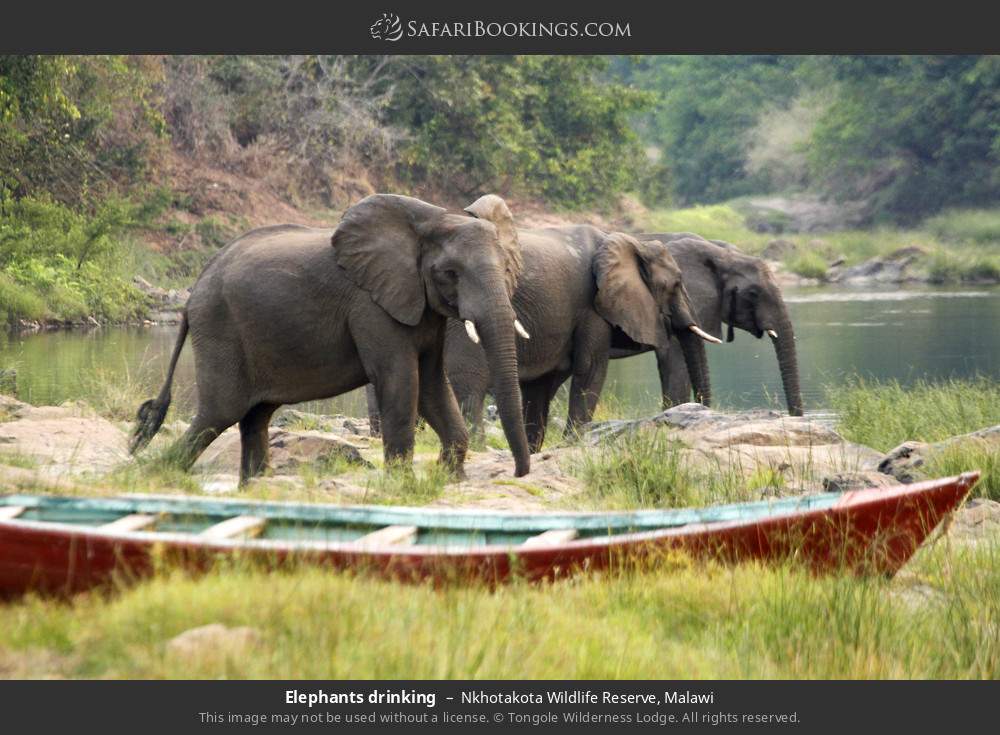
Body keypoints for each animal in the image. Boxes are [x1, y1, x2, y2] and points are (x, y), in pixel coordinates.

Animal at [129, 193, 533, 483]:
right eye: (450, 273)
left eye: (507, 267)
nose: (518, 472)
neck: (432, 219)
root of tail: (191, 294)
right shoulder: (370, 305)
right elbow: (401, 379)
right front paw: (402, 484)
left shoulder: (424, 307)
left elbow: (433, 383)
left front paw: (452, 478)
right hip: (220, 327)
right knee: (219, 412)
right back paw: (160, 476)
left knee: (255, 416)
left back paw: (255, 484)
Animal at [368, 227, 717, 453]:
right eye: (675, 284)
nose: (703, 410)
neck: (627, 241)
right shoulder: (591, 307)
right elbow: (591, 370)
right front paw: (572, 443)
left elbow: (540, 389)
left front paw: (536, 449)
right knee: (469, 385)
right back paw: (479, 447)